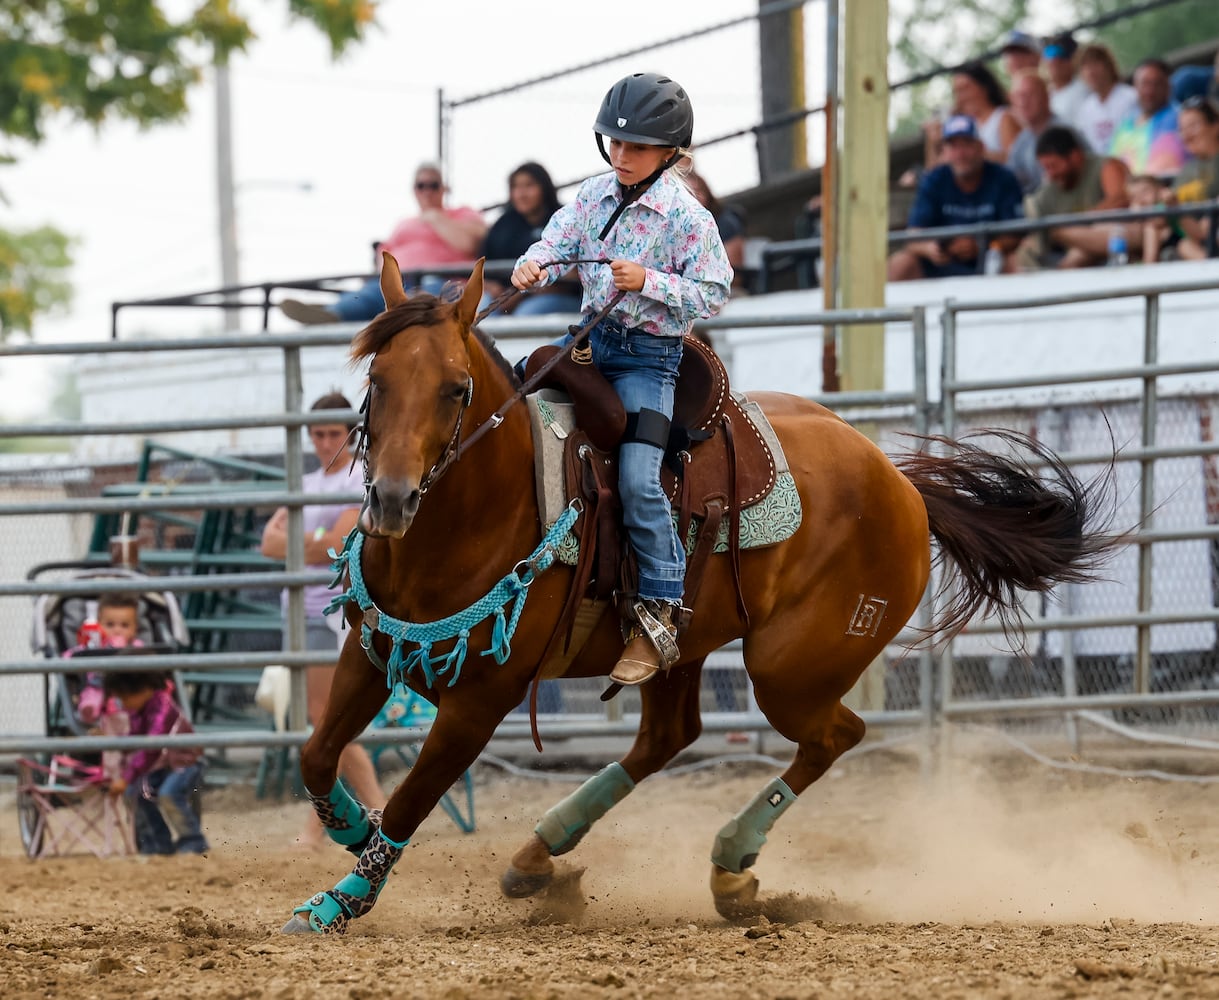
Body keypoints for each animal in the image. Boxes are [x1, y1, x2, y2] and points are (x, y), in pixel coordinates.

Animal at [282, 253, 1116, 931]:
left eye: (456, 390)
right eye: (376, 381)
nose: (391, 500)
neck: (485, 509)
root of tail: (903, 485)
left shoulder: (479, 701)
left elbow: (413, 800)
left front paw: (335, 902)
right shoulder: (372, 650)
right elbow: (318, 756)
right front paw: (351, 832)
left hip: (790, 668)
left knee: (833, 736)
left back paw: (730, 868)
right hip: (681, 650)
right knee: (668, 737)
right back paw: (538, 857)